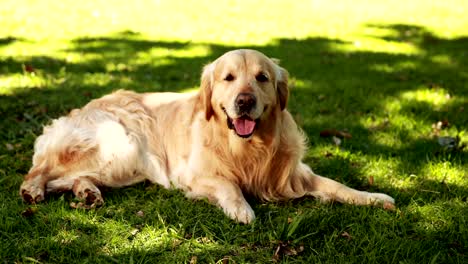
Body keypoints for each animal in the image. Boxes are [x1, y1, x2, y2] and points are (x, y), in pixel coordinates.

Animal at [21, 49, 394, 223]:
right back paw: (34, 190)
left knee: (71, 177)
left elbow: (338, 186)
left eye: (262, 77)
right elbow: (229, 185)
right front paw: (242, 209)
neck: (248, 147)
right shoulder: (195, 176)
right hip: (122, 144)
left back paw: (87, 193)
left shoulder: (292, 175)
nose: (245, 102)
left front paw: (374, 197)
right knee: (42, 171)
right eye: (228, 78)